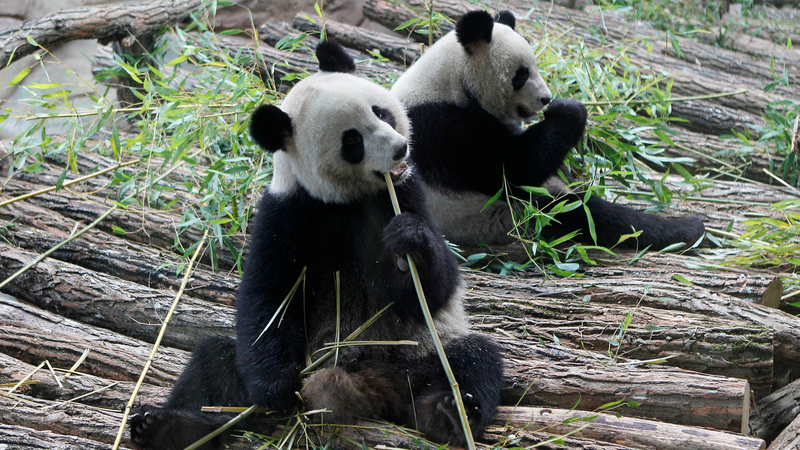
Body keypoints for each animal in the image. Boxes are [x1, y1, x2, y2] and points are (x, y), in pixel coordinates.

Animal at [128, 40, 503, 450]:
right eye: (352, 141)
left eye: (381, 112)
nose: (400, 148)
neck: (345, 200)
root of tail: (371, 387)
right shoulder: (287, 212)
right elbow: (268, 297)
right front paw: (277, 389)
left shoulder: (406, 193)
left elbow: (434, 289)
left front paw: (410, 243)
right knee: (214, 360)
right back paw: (169, 426)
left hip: (418, 355)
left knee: (473, 359)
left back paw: (448, 414)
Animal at [391, 10, 705, 250]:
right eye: (520, 75)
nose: (545, 98)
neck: (453, 80)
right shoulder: (448, 129)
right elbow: (512, 169)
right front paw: (569, 110)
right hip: (497, 216)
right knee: (579, 213)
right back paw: (685, 229)